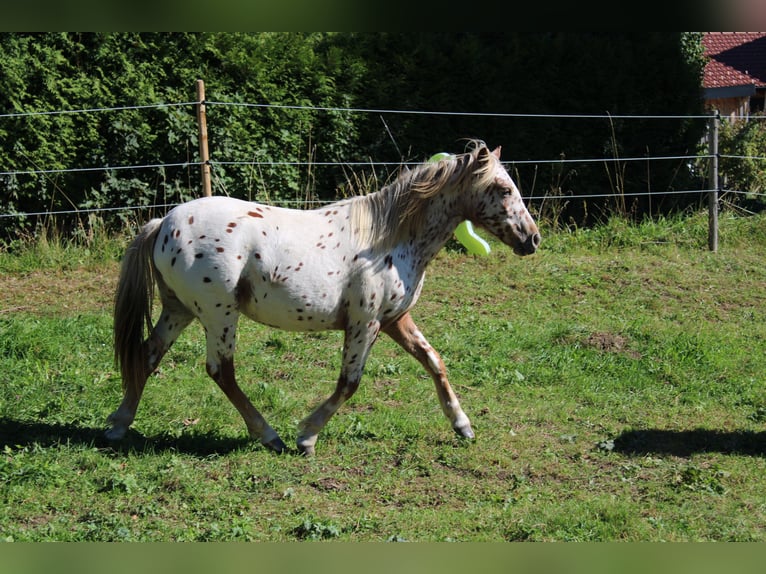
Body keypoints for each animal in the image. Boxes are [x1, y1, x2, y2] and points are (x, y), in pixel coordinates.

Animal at [107, 141, 540, 455]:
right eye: (503, 189)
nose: (532, 239)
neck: (390, 238)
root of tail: (164, 222)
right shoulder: (365, 323)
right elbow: (350, 382)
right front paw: (307, 436)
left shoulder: (394, 320)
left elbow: (434, 361)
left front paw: (462, 425)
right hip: (218, 314)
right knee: (220, 371)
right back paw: (270, 436)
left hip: (179, 310)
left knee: (147, 355)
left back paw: (119, 423)